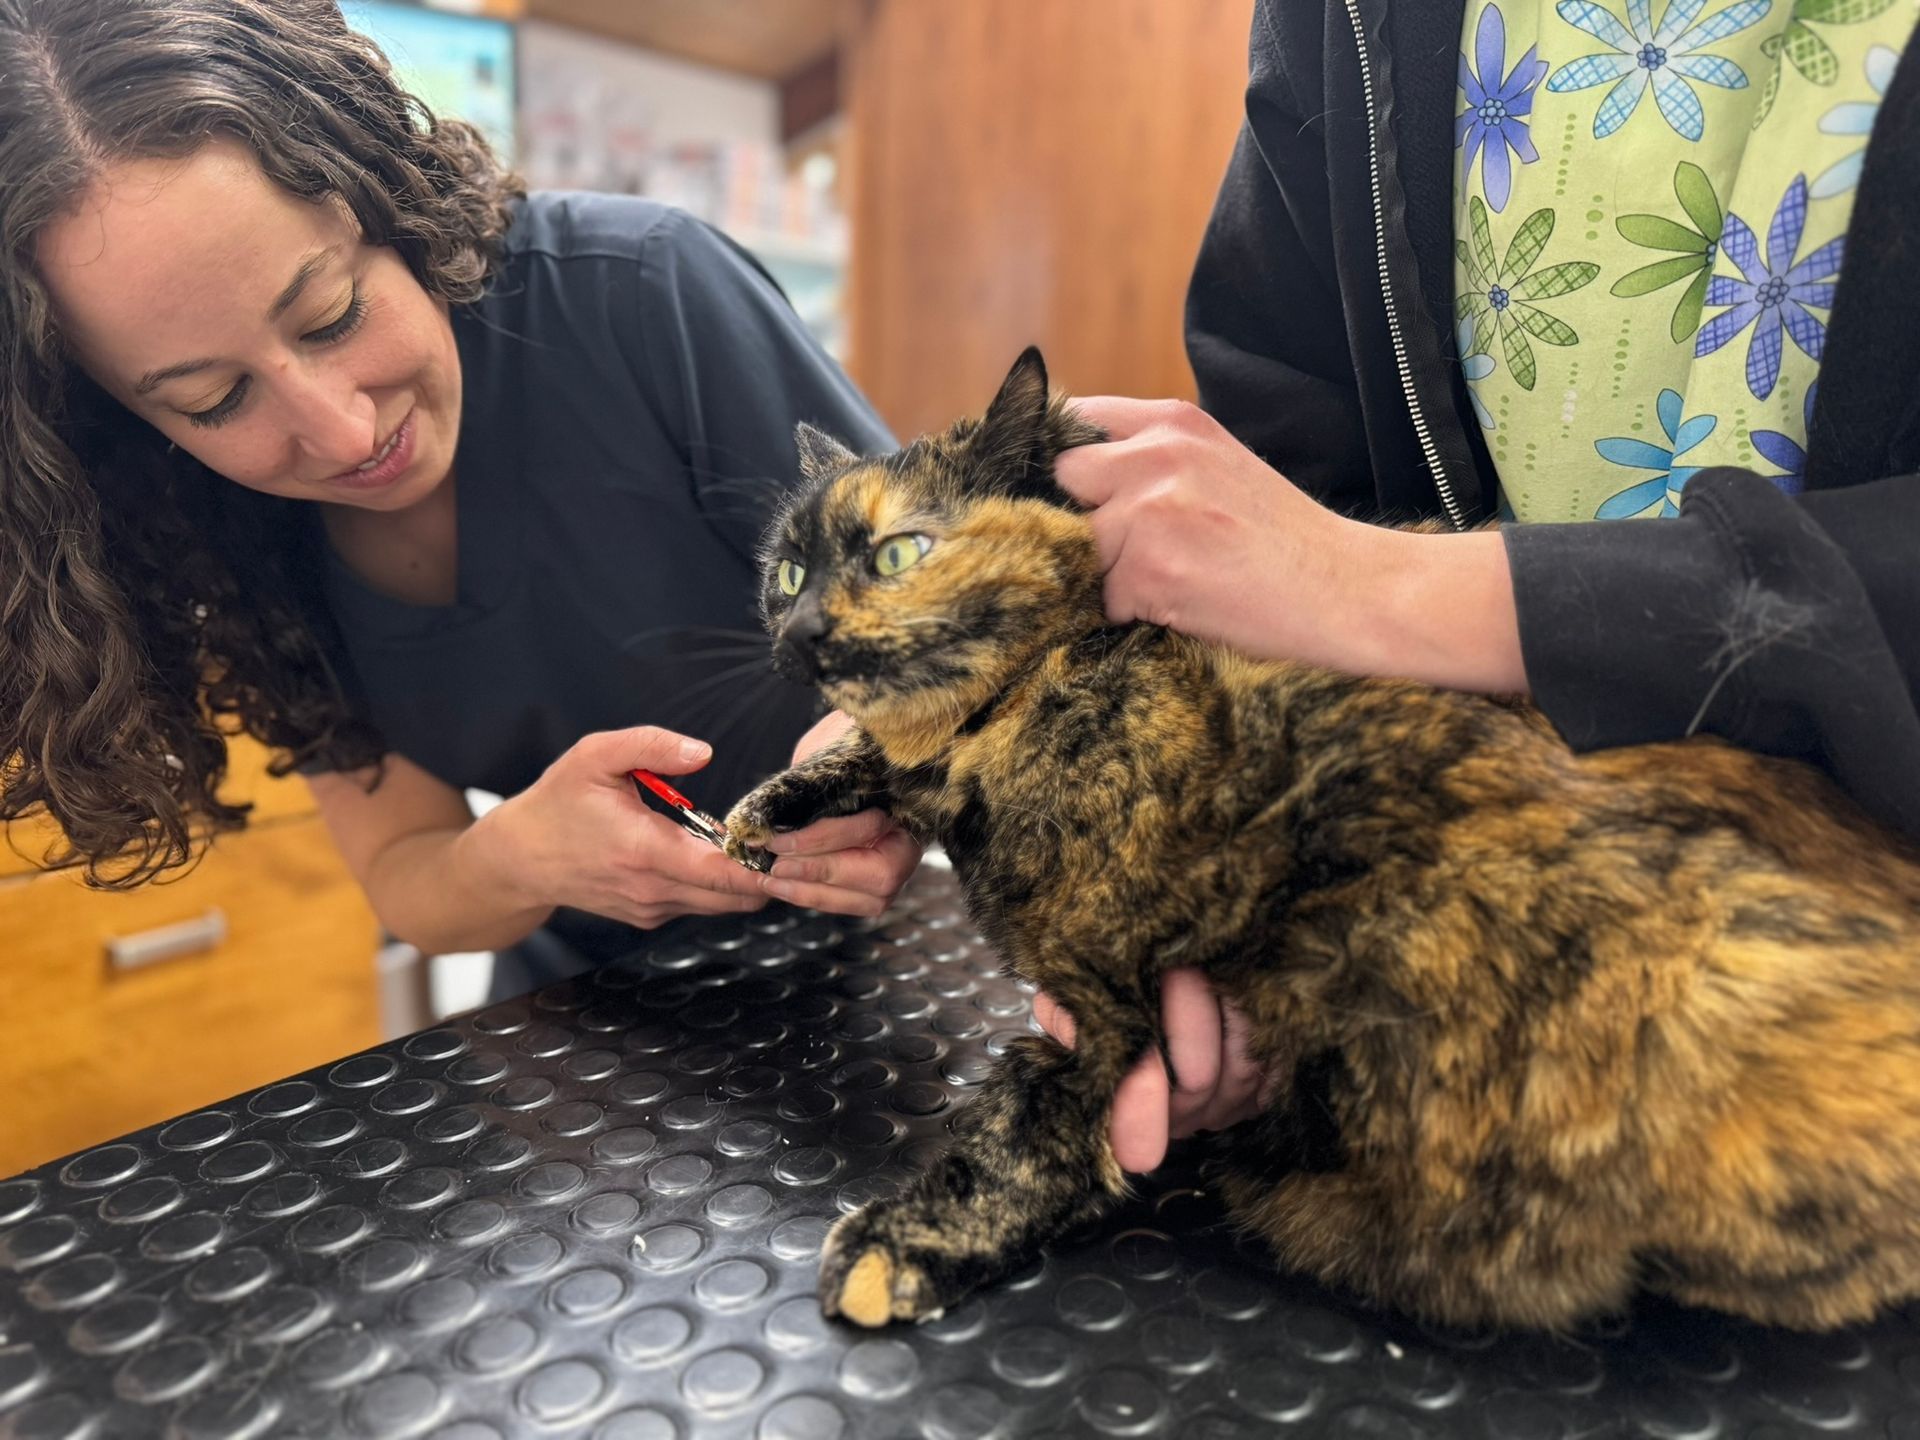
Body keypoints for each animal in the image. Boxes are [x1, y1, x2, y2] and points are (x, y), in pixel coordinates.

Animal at [721, 355, 1920, 1336]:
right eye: (785, 575)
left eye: (898, 553)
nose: (802, 632)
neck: (1034, 699)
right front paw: (770, 805)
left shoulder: (1112, 1017)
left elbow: (1023, 1138)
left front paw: (901, 1247)